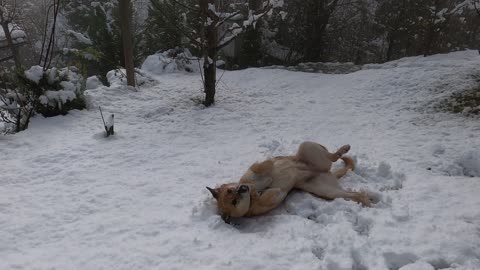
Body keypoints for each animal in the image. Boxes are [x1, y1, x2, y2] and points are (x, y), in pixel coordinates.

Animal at [206, 141, 372, 224]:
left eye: (230, 190)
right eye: (234, 201)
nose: (242, 189)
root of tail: (320, 170)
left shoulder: (255, 170)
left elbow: (263, 169)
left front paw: (260, 181)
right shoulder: (269, 199)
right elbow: (271, 194)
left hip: (306, 146)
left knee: (332, 155)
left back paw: (344, 148)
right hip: (327, 191)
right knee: (353, 193)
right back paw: (367, 202)